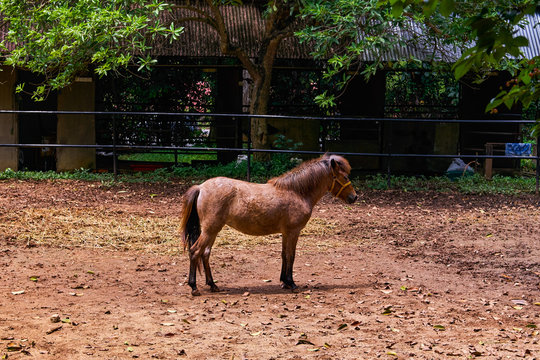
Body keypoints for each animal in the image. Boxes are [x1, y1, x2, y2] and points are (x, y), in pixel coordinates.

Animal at [177, 153, 360, 296]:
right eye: (345, 177)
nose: (354, 197)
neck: (297, 192)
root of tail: (201, 187)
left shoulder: (286, 233)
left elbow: (284, 255)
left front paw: (284, 282)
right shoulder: (293, 232)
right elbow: (291, 256)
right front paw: (291, 283)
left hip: (213, 231)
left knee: (205, 253)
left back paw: (213, 285)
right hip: (210, 230)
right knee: (195, 251)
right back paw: (194, 287)